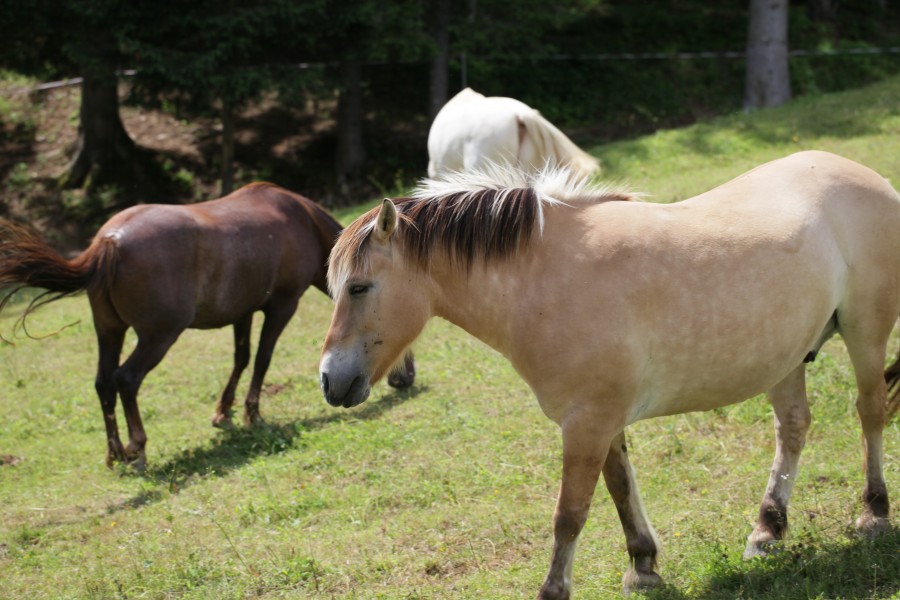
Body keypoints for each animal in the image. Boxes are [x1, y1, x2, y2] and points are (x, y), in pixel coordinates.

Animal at [0, 182, 414, 468]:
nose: (406, 377)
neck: (300, 221)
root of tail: (107, 242)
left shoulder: (243, 311)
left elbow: (241, 358)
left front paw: (224, 412)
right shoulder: (281, 306)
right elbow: (262, 359)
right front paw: (252, 415)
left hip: (109, 331)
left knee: (103, 383)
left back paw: (115, 452)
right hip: (157, 336)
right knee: (126, 380)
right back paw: (137, 448)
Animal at [320, 155, 896, 600]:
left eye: (359, 287)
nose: (329, 380)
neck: (544, 280)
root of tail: (867, 175)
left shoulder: (586, 424)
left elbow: (570, 513)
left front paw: (554, 589)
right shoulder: (603, 421)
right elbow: (619, 489)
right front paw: (643, 568)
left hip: (865, 334)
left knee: (869, 414)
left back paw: (874, 516)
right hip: (787, 357)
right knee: (793, 427)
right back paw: (767, 530)